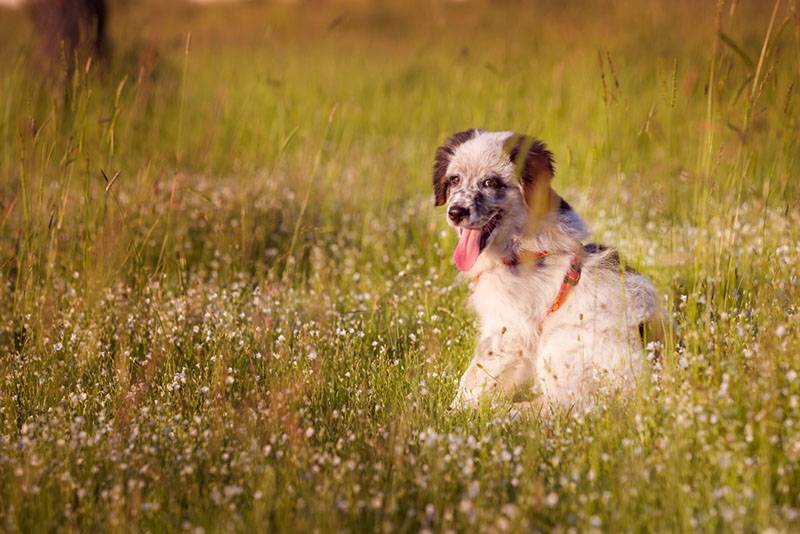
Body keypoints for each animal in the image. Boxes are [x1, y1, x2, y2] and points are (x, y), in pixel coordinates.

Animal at [434, 129, 660, 410]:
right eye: (454, 179)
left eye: (490, 182)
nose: (455, 212)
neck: (518, 247)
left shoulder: (509, 329)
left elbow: (474, 376)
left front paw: (454, 414)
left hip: (558, 341)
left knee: (564, 406)